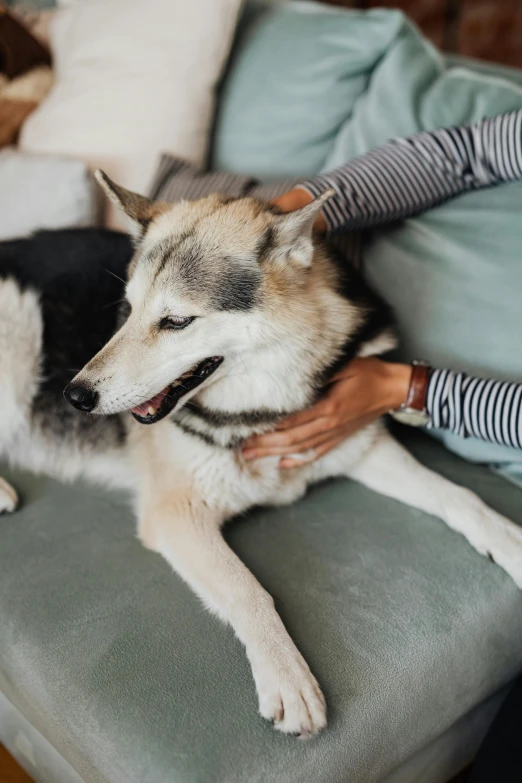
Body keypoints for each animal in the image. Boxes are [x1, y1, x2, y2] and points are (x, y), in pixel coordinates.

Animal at [3, 173, 520, 740]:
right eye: (129, 310)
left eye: (176, 321)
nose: (75, 396)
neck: (261, 405)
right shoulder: (177, 514)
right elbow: (249, 590)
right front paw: (288, 675)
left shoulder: (363, 446)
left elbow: (461, 496)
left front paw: (509, 540)